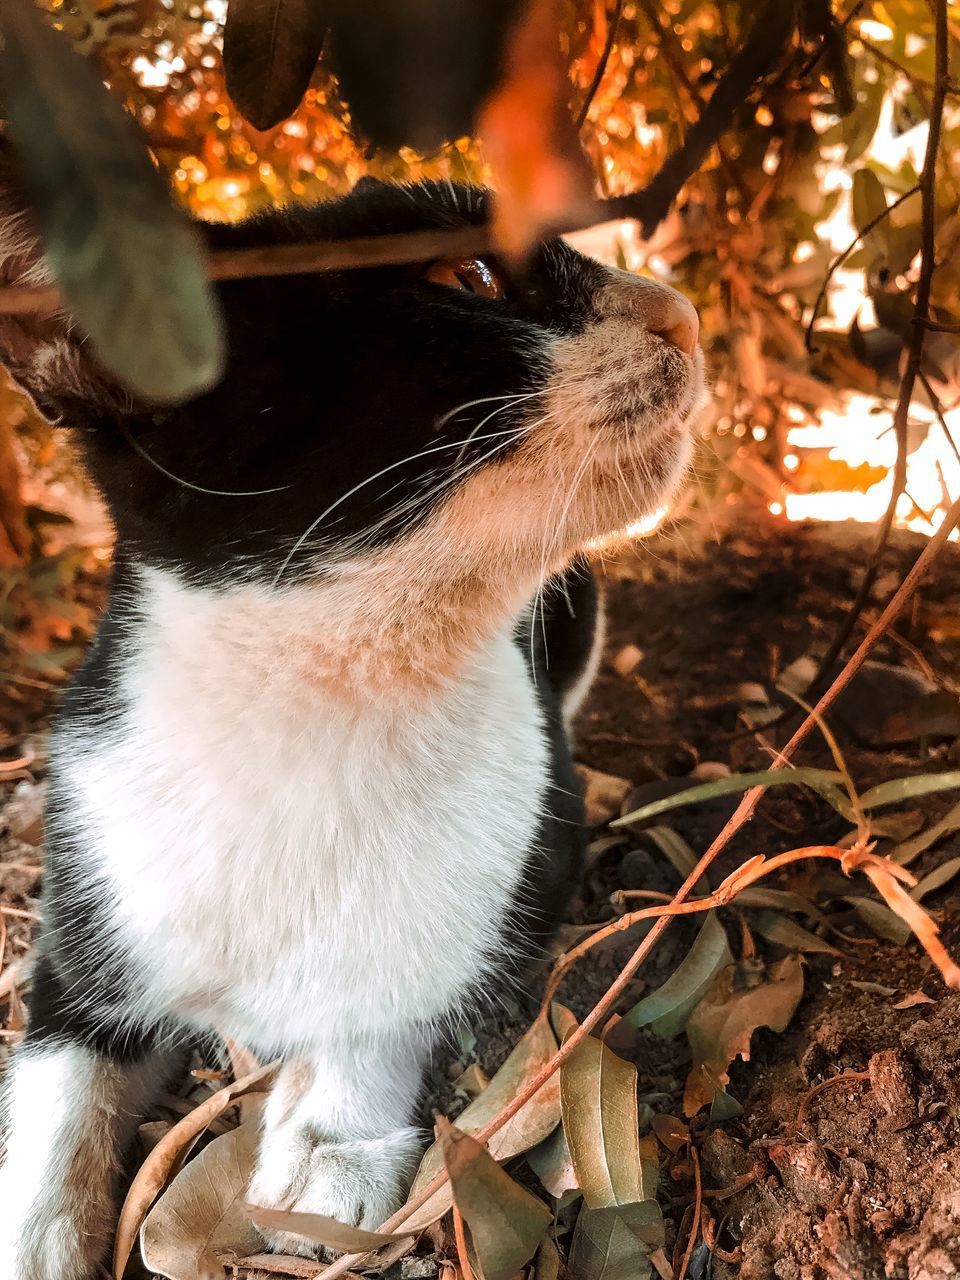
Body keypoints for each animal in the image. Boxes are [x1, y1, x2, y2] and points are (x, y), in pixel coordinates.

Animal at [0, 162, 701, 1280]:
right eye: (464, 275)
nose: (683, 313)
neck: (322, 710)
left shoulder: (526, 849)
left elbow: (399, 980)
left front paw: (329, 1135)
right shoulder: (85, 910)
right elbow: (57, 1087)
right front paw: (34, 1235)